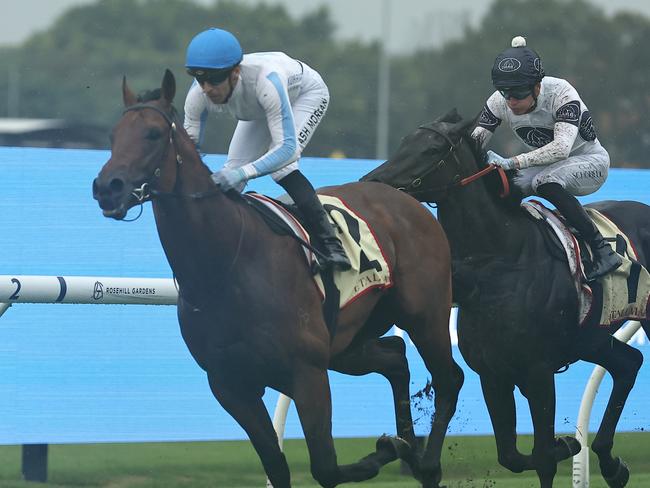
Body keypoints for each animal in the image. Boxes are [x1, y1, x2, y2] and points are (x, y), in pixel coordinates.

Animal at [92, 71, 460, 488]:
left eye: (153, 134)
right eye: (113, 135)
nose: (108, 187)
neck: (224, 267)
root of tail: (403, 198)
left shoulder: (307, 373)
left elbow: (325, 466)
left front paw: (385, 449)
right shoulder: (230, 385)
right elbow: (276, 466)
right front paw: (394, 446)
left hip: (425, 317)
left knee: (448, 379)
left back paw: (426, 463)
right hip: (348, 343)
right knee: (396, 358)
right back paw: (409, 447)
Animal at [362, 108, 648, 486]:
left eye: (431, 149)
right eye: (405, 141)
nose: (373, 183)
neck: (500, 259)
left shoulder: (538, 371)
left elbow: (542, 458)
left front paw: (559, 447)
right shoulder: (493, 372)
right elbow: (510, 455)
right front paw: (567, 444)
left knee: (551, 182)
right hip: (590, 338)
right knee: (629, 363)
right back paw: (611, 464)